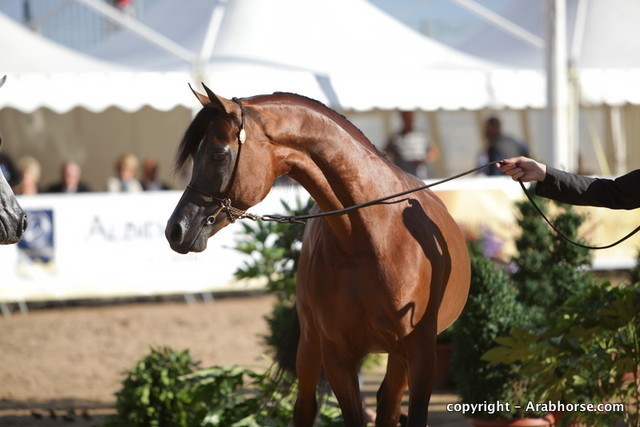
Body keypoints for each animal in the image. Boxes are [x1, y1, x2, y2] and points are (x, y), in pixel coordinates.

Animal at [165, 84, 470, 426]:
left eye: (218, 154)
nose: (175, 230)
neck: (372, 237)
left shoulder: (420, 353)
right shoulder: (337, 355)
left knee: (388, 405)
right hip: (310, 345)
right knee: (306, 407)